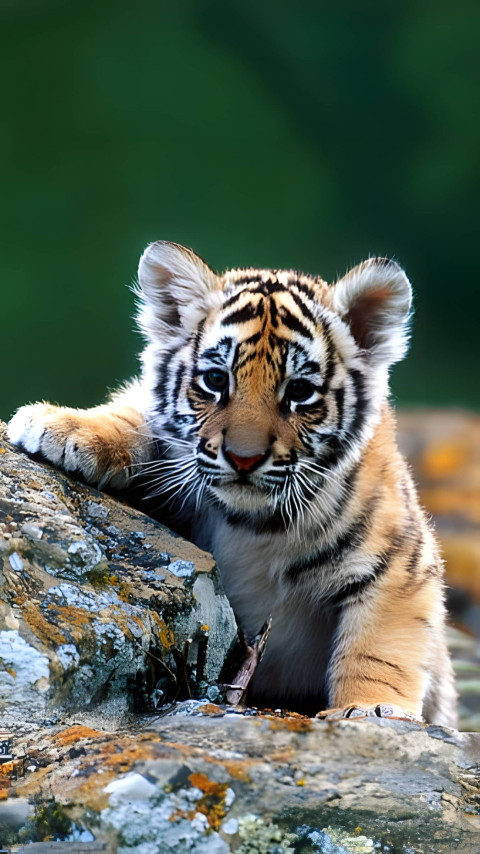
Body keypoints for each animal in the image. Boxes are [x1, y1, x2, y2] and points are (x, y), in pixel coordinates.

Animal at [8, 241, 457, 727]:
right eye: (215, 380)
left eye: (299, 391)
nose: (244, 458)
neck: (252, 524)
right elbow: (135, 414)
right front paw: (60, 425)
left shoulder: (401, 566)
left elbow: (379, 651)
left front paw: (371, 709)